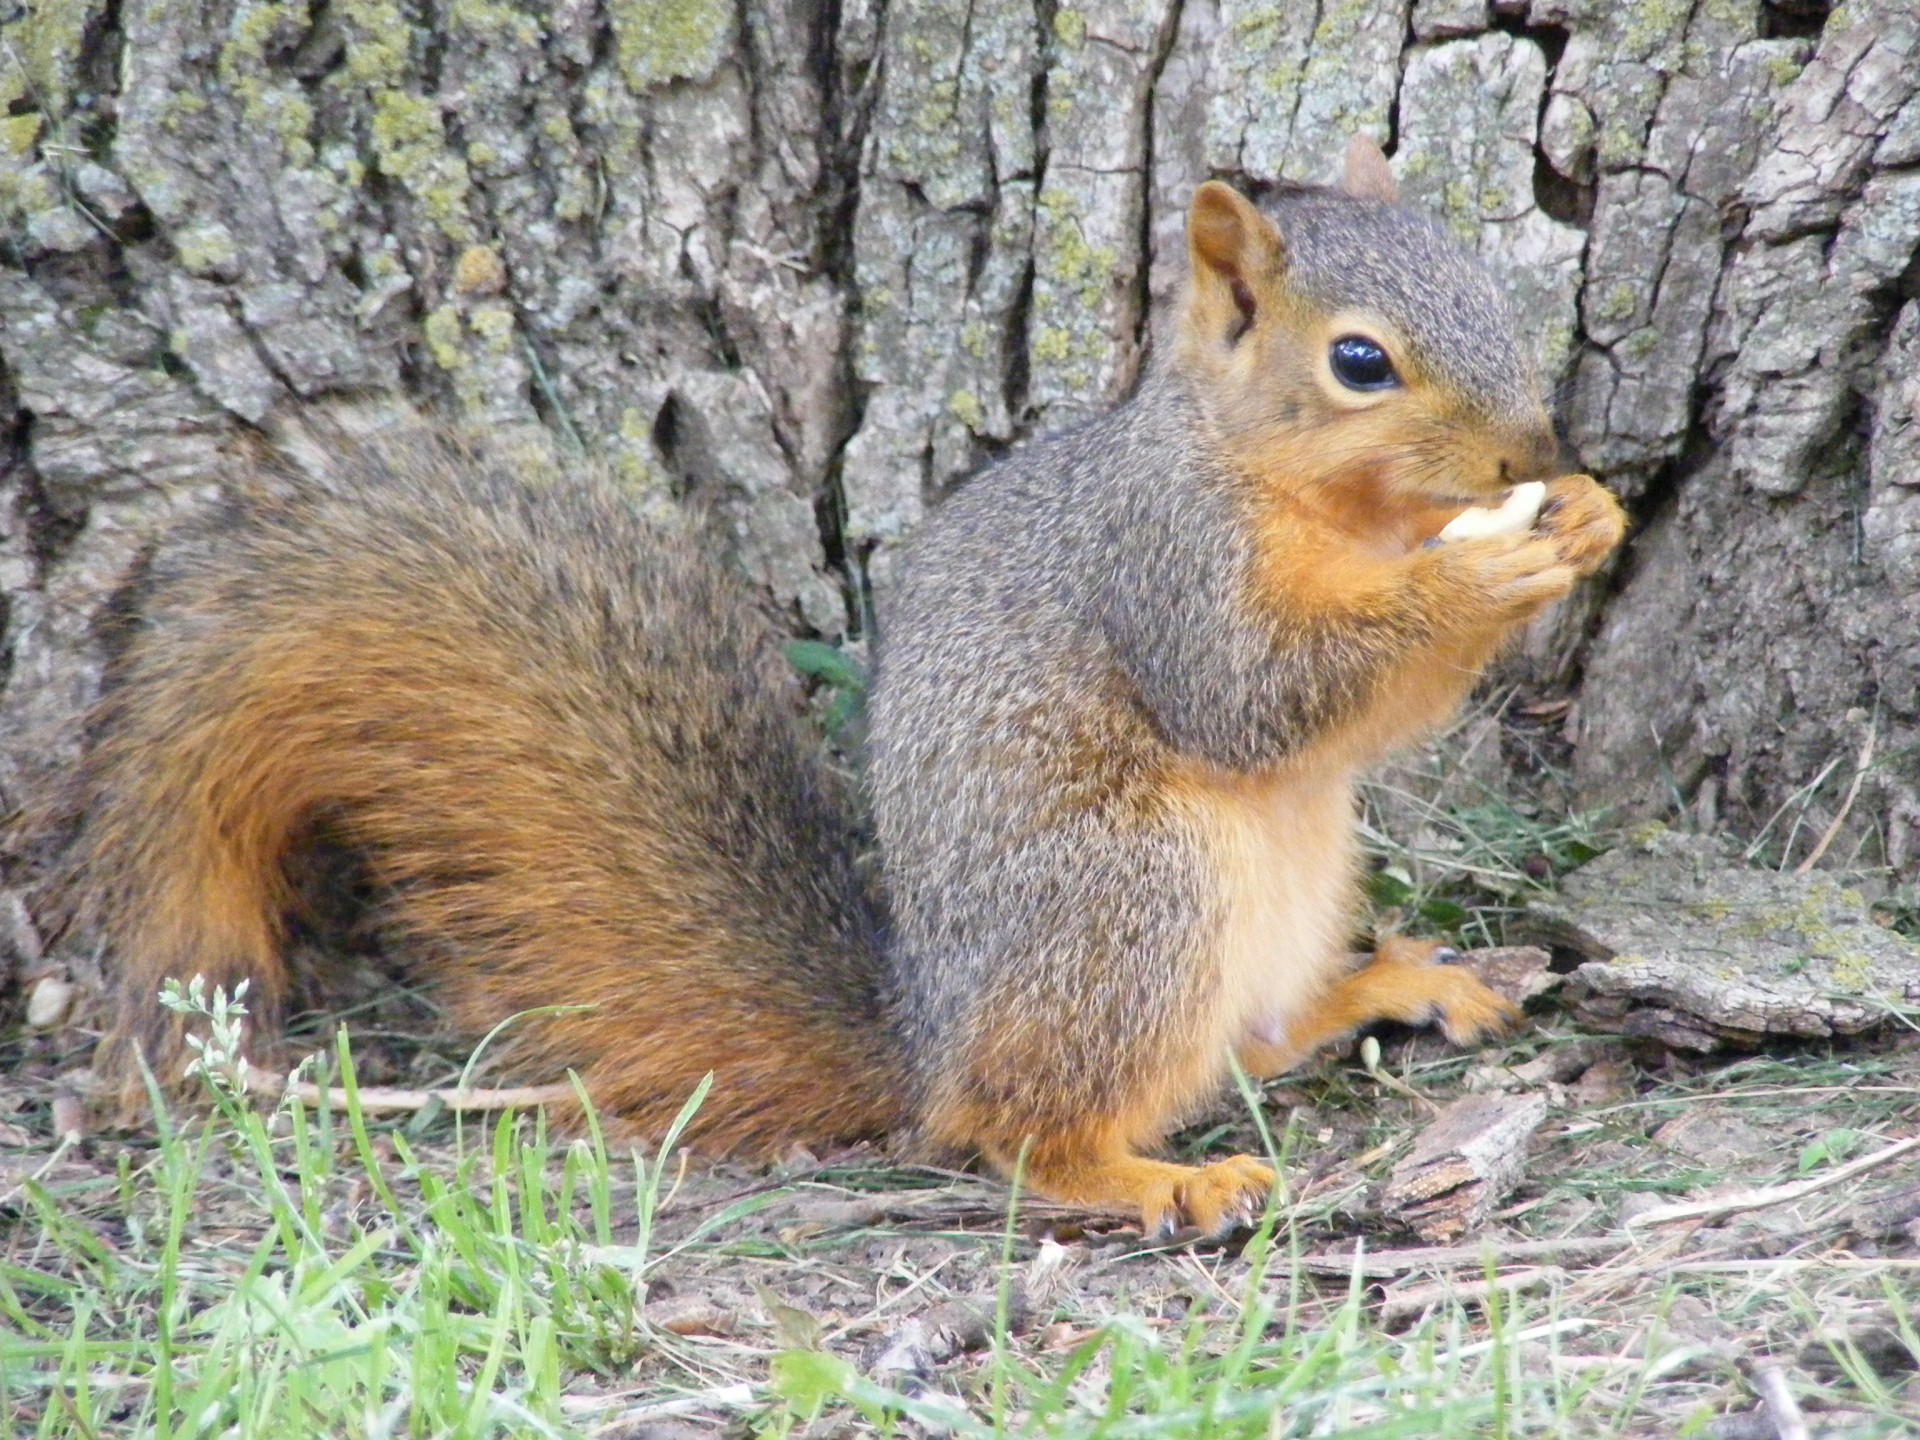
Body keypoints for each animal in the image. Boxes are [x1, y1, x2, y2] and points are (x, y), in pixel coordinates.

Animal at [30, 141, 1620, 1236]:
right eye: (1360, 361)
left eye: (1494, 296)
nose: (1532, 454)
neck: (1326, 504)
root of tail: (929, 1030)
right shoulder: (1164, 566)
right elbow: (1256, 697)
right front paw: (1495, 569)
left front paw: (1587, 519)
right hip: (1134, 899)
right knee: (1011, 1127)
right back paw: (1148, 1179)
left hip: (1287, 882)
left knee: (1259, 1035)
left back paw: (1394, 983)